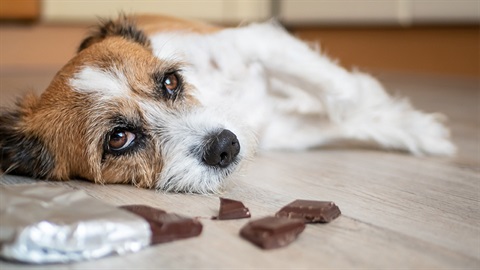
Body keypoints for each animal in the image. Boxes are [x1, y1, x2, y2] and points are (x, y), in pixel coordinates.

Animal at [0, 14, 458, 193]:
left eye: (170, 81)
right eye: (118, 139)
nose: (225, 145)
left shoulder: (258, 42)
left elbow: (344, 94)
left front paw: (418, 128)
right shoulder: (282, 132)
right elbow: (342, 116)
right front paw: (414, 128)